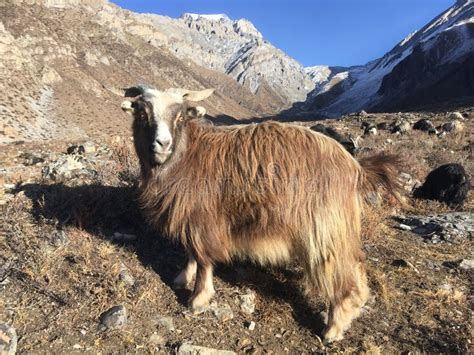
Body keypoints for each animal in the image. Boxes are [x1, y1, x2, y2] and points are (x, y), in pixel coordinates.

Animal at [121, 85, 400, 342]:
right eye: (143, 113)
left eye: (179, 117)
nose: (162, 144)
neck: (188, 154)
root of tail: (355, 167)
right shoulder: (190, 219)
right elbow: (191, 252)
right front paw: (181, 278)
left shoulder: (205, 219)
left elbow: (204, 259)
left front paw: (198, 299)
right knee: (357, 264)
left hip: (325, 231)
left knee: (343, 272)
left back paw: (334, 328)